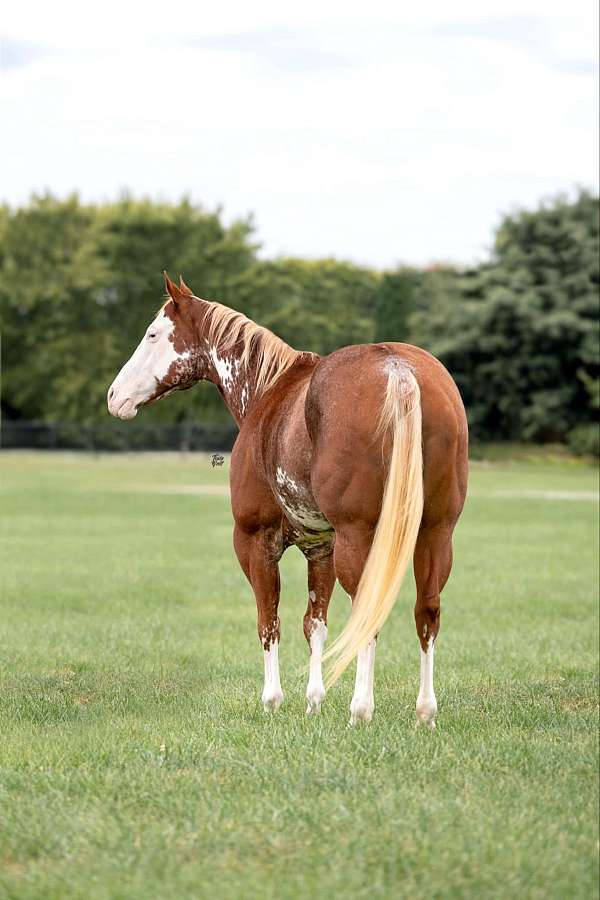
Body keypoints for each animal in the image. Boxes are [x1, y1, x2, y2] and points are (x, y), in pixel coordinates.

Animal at [106, 272, 468, 724]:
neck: (269, 391)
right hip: (436, 532)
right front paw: (314, 700)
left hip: (361, 537)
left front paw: (273, 700)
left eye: (153, 334)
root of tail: (397, 369)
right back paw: (425, 710)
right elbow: (314, 623)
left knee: (368, 612)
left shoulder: (255, 541)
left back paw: (361, 710)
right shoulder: (322, 548)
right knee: (427, 611)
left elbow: (269, 620)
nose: (114, 396)